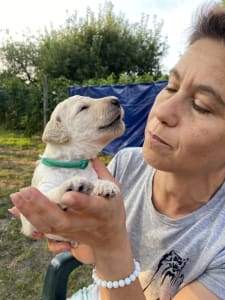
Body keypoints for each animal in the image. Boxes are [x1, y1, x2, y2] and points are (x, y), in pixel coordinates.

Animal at [20, 95, 125, 243]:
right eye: (83, 108)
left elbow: (95, 180)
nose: (116, 100)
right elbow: (51, 193)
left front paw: (105, 185)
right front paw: (71, 186)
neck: (73, 163)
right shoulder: (40, 194)